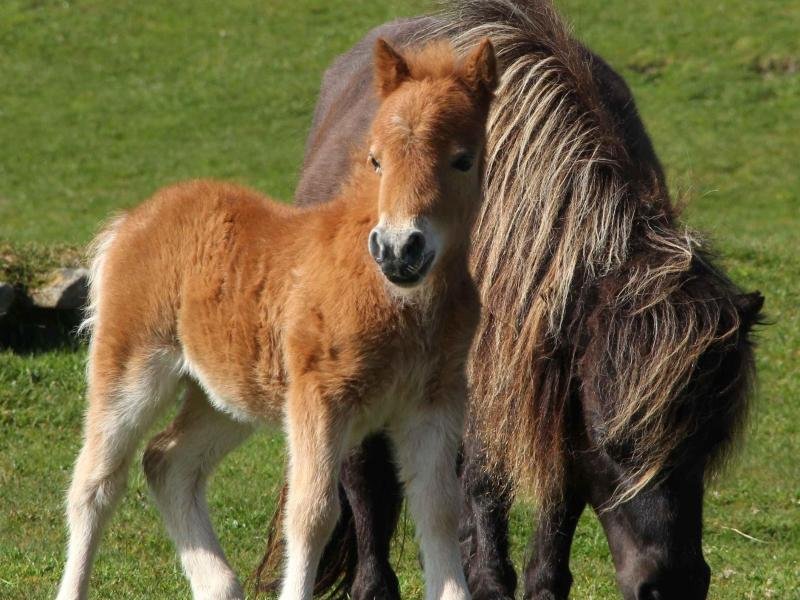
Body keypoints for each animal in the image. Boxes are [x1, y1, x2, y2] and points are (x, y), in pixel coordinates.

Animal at [56, 39, 496, 600]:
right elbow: (312, 514)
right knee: (95, 484)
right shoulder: (320, 398)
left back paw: (219, 585)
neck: (398, 301)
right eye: (376, 160)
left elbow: (438, 512)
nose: (399, 250)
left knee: (167, 462)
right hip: (130, 368)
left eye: (463, 160)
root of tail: (133, 220)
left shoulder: (435, 404)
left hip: (227, 396)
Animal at [276, 1, 764, 600]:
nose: (672, 585)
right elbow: (482, 485)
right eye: (617, 443)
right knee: (367, 490)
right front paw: (486, 582)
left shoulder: (556, 387)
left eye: (708, 444)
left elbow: (555, 507)